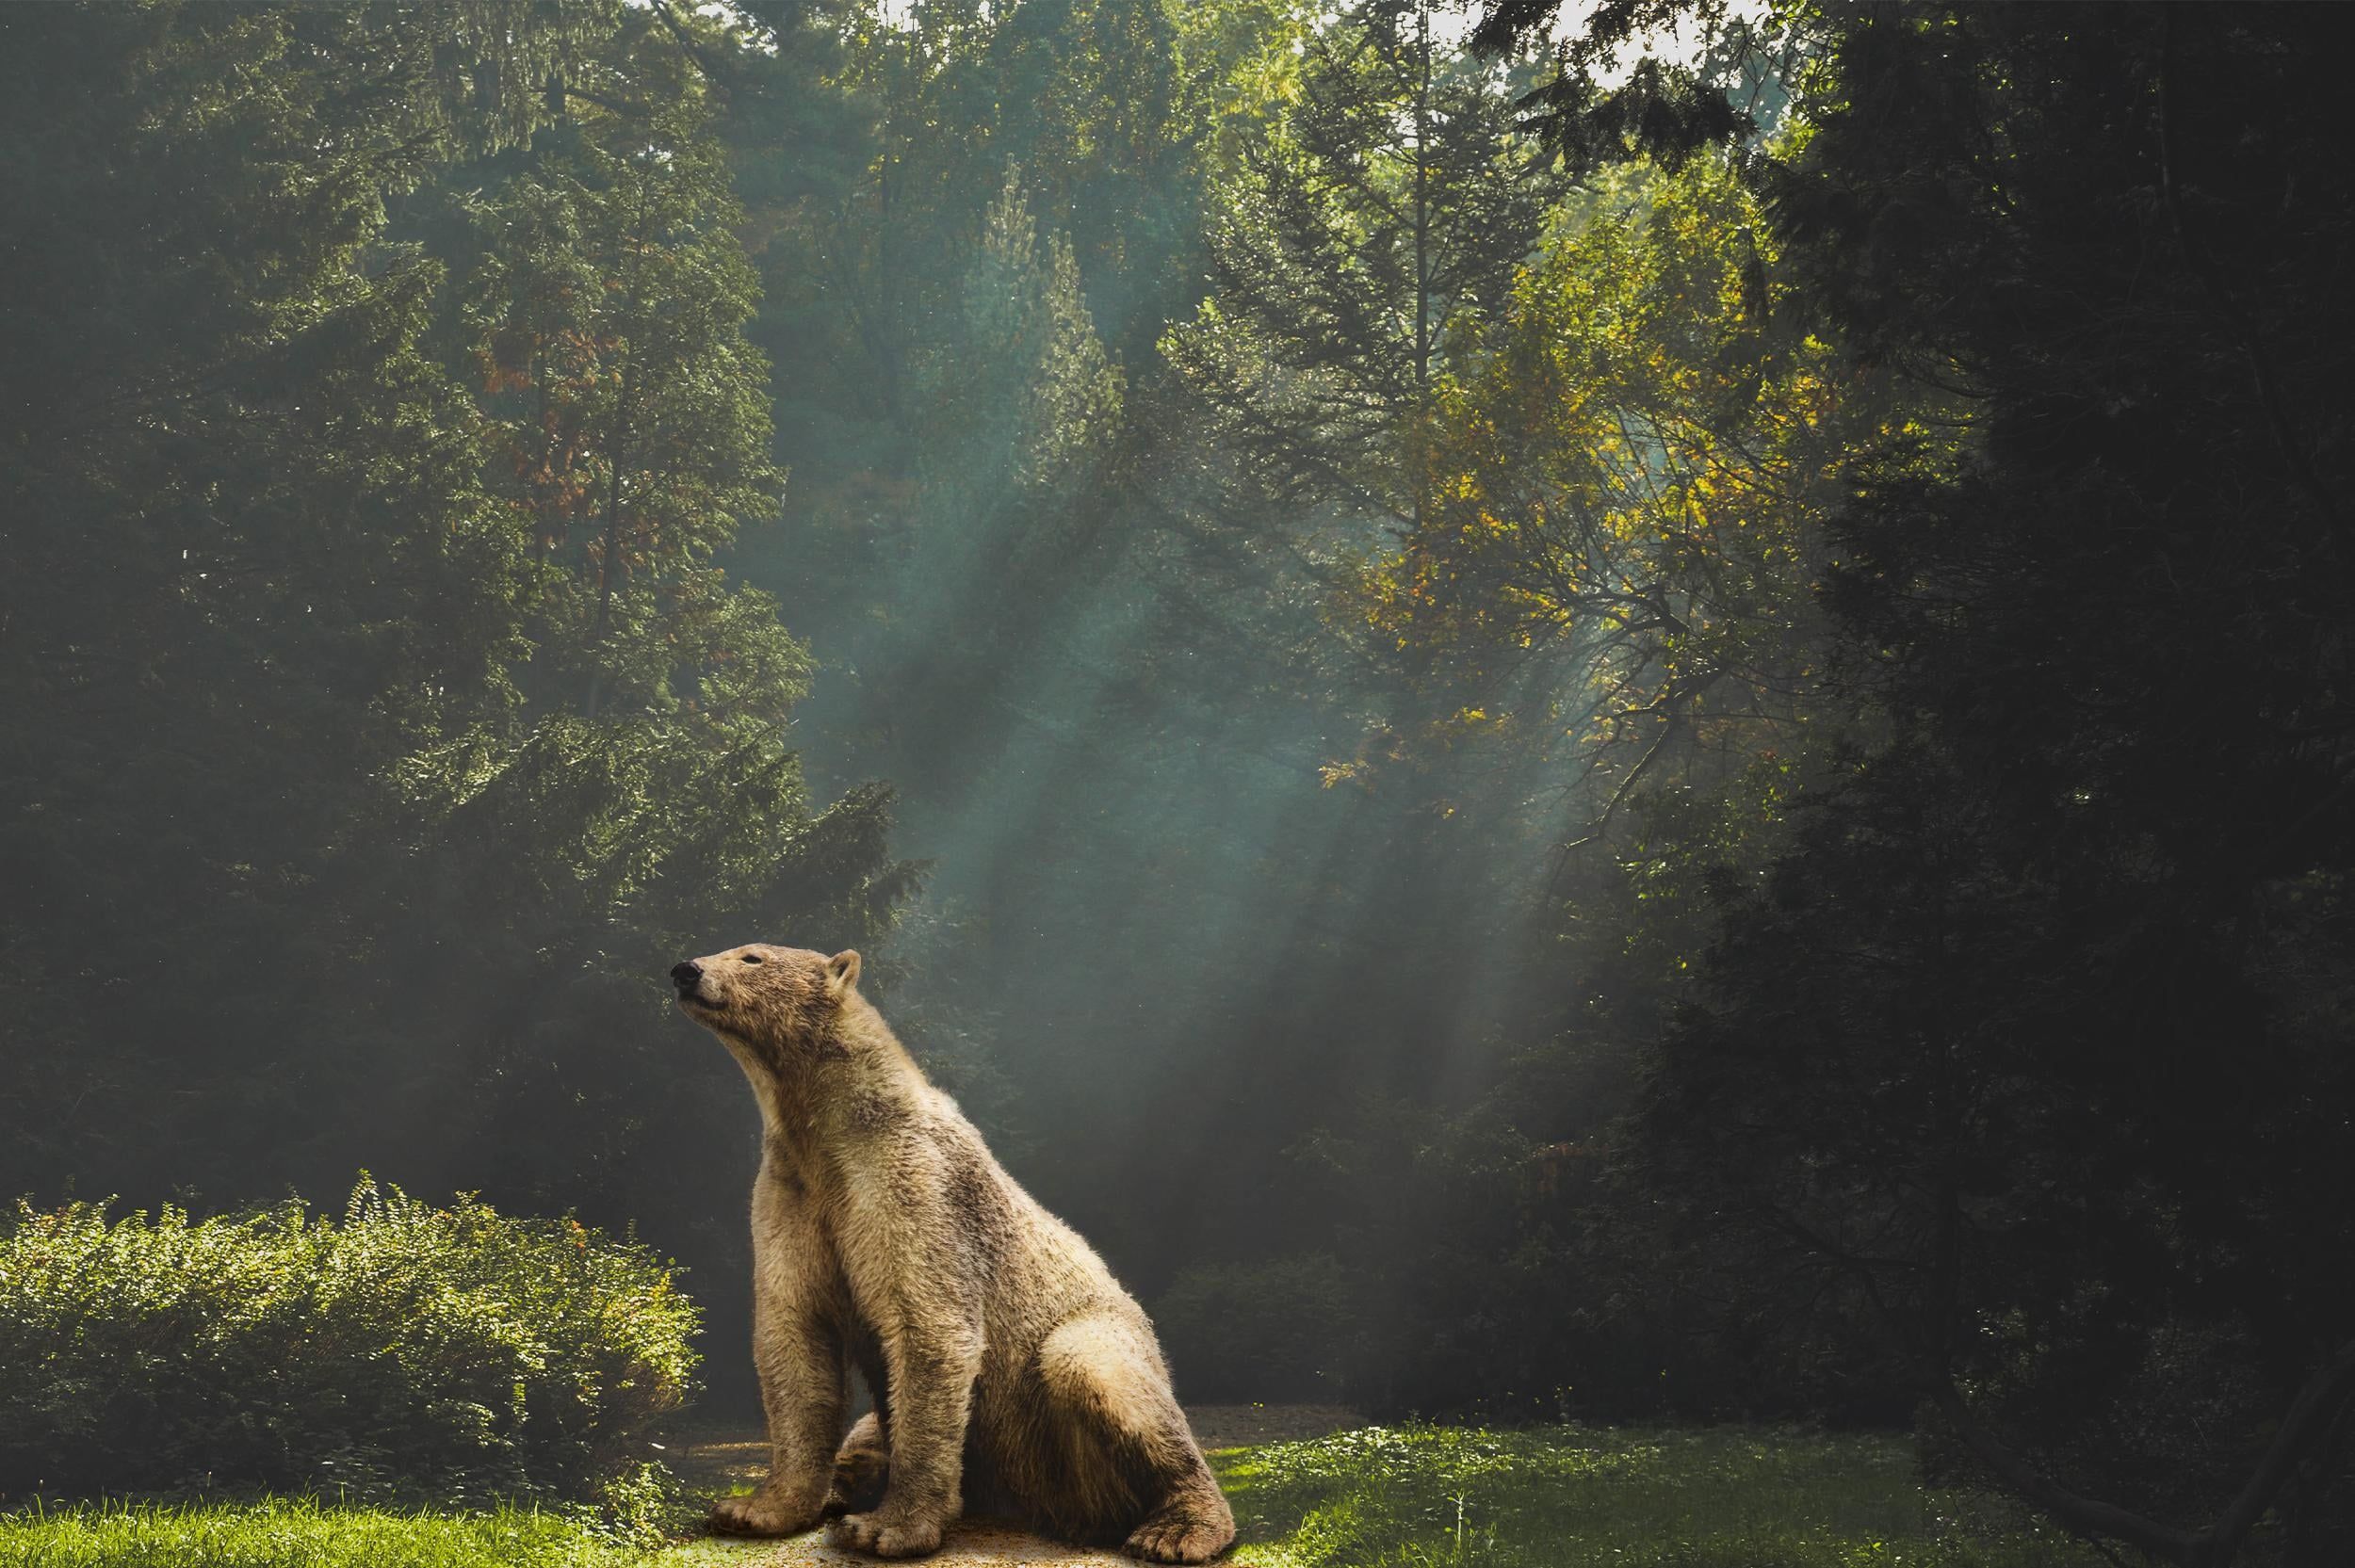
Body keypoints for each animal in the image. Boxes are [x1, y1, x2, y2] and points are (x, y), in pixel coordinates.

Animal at [671, 941, 1237, 1564]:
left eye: (752, 956)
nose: (686, 970)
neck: (837, 1126)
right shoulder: (790, 1191)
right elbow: (794, 1333)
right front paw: (755, 1509)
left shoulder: (917, 1184)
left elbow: (930, 1327)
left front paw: (885, 1529)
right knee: (866, 1432)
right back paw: (853, 1478)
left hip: (1092, 1374)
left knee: (1093, 1369)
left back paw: (1178, 1529)